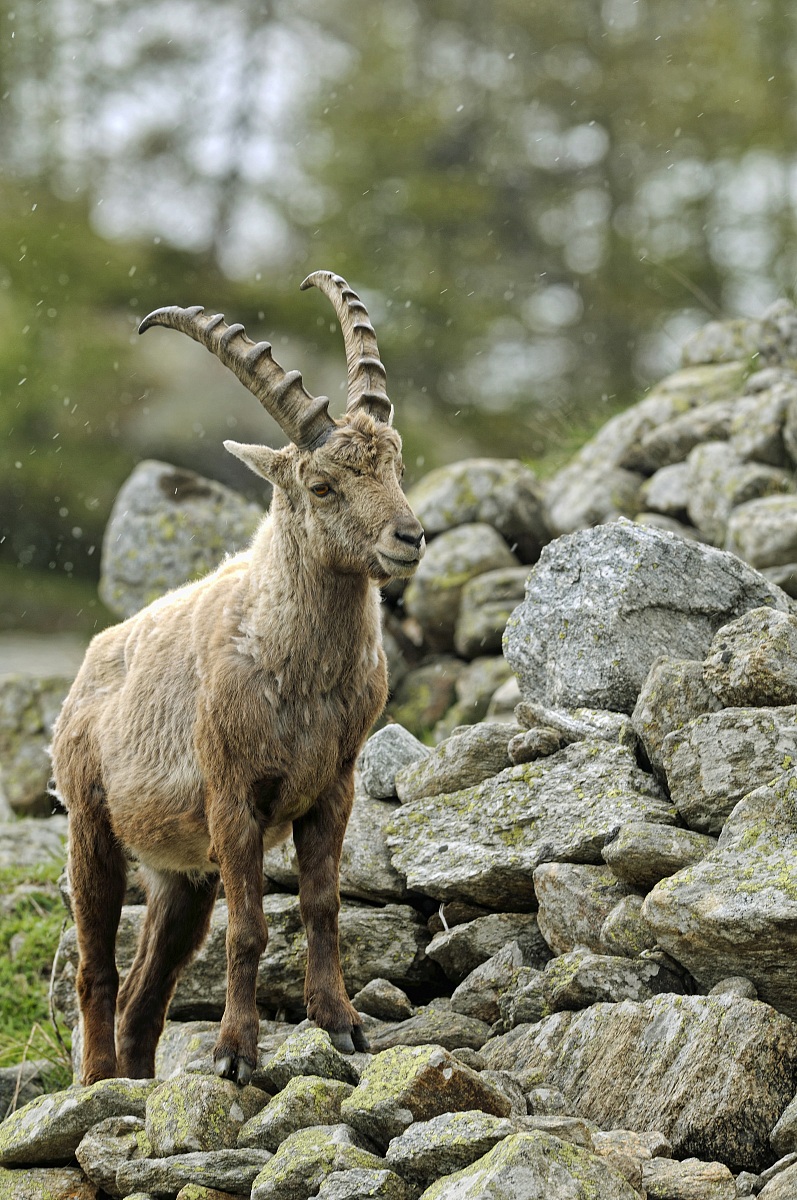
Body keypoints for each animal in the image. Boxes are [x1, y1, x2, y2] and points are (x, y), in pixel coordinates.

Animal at [51, 271, 425, 1086]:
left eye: (394, 466)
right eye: (321, 485)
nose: (408, 537)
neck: (298, 672)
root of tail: (89, 665)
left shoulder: (333, 787)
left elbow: (321, 906)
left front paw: (341, 1023)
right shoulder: (233, 797)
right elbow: (250, 927)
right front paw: (234, 1051)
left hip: (181, 876)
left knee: (146, 988)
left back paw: (135, 1077)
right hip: (92, 827)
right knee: (97, 968)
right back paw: (97, 1080)